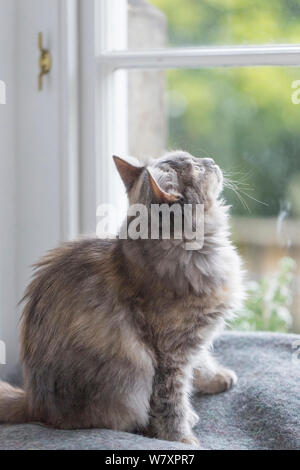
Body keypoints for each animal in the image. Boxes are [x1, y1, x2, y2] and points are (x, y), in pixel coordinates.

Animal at [0, 151, 244, 448]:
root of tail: (34, 403)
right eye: (196, 168)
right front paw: (183, 440)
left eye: (195, 158)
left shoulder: (194, 339)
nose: (210, 160)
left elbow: (203, 362)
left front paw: (217, 378)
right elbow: (171, 404)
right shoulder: (170, 354)